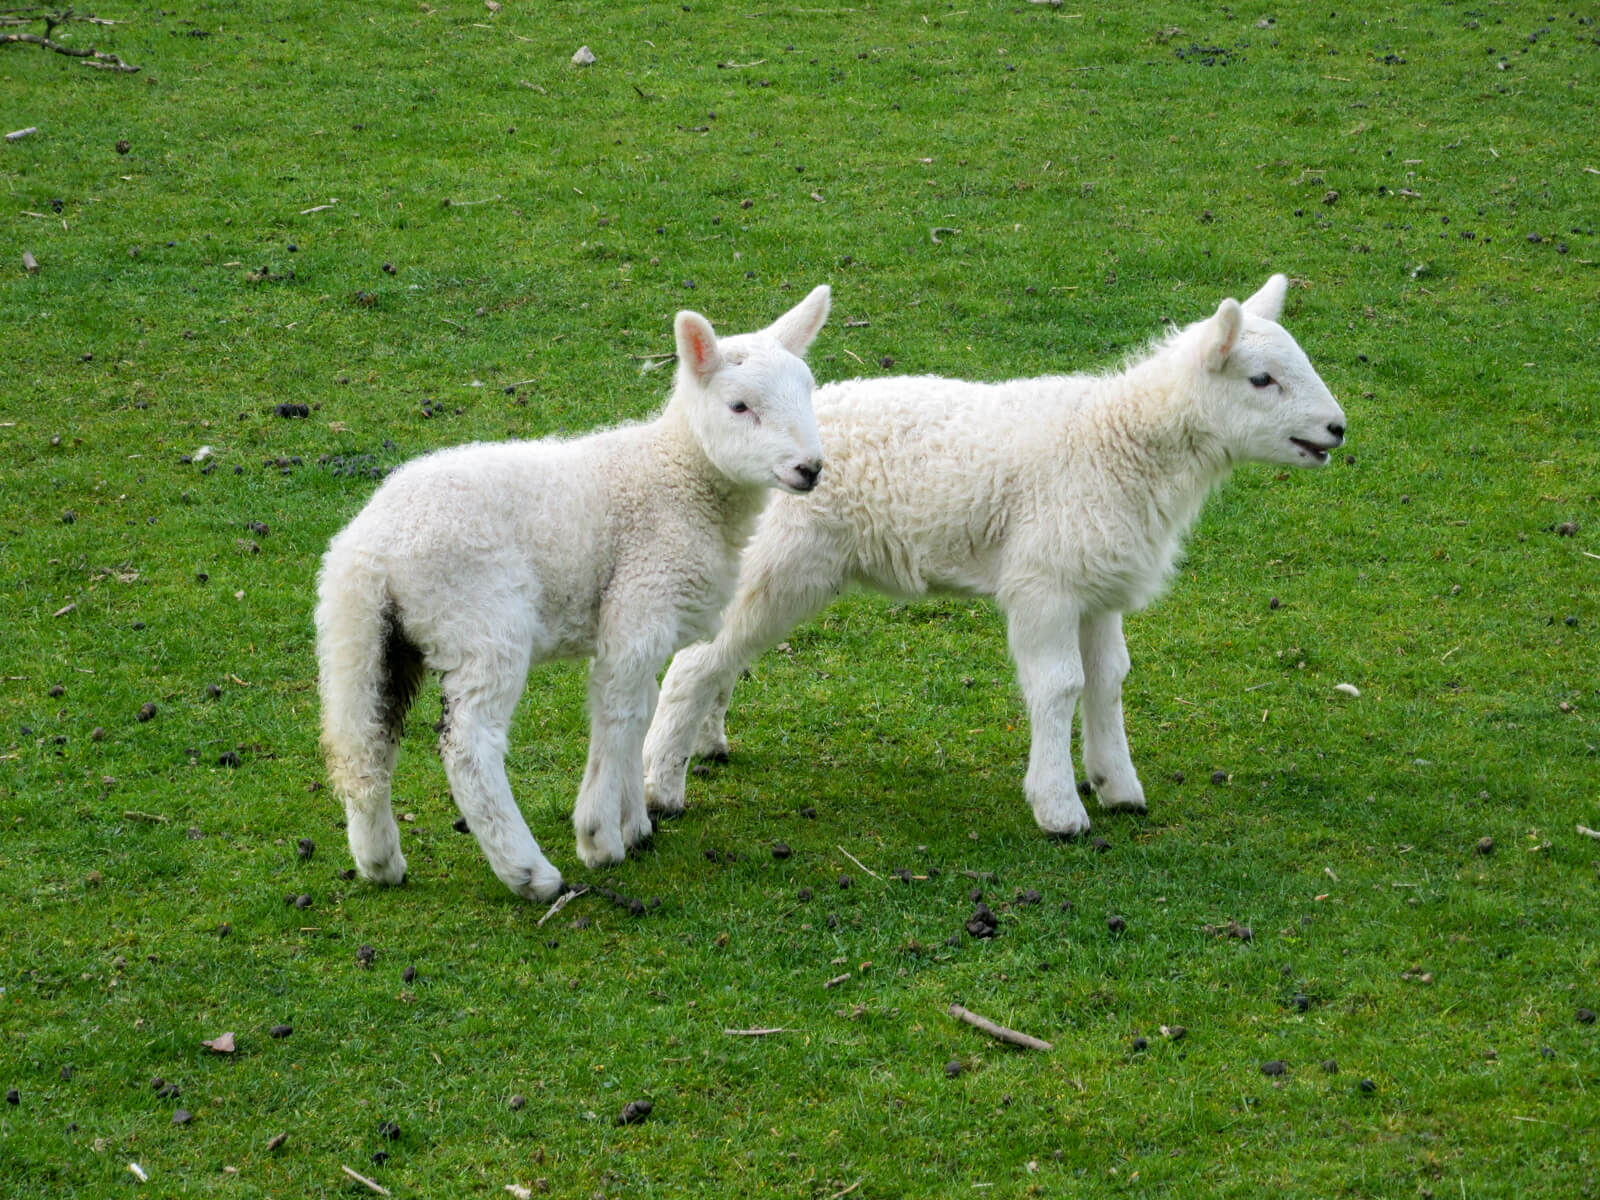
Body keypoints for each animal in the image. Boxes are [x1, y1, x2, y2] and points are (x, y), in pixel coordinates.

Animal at [316, 285, 831, 901]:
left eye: (808, 391)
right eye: (738, 407)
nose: (810, 468)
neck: (677, 477)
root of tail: (369, 549)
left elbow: (642, 709)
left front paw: (634, 824)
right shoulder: (638, 609)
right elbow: (619, 714)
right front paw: (601, 838)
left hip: (366, 639)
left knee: (363, 745)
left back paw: (380, 862)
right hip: (482, 621)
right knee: (469, 746)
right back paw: (529, 873)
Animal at [643, 275, 1346, 838]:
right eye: (1261, 379)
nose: (1337, 428)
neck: (1118, 443)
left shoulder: (1096, 584)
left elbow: (1109, 680)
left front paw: (1118, 786)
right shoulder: (1044, 583)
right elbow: (1060, 685)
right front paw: (1060, 809)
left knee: (719, 656)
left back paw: (706, 743)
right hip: (780, 563)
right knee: (695, 664)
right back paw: (660, 787)